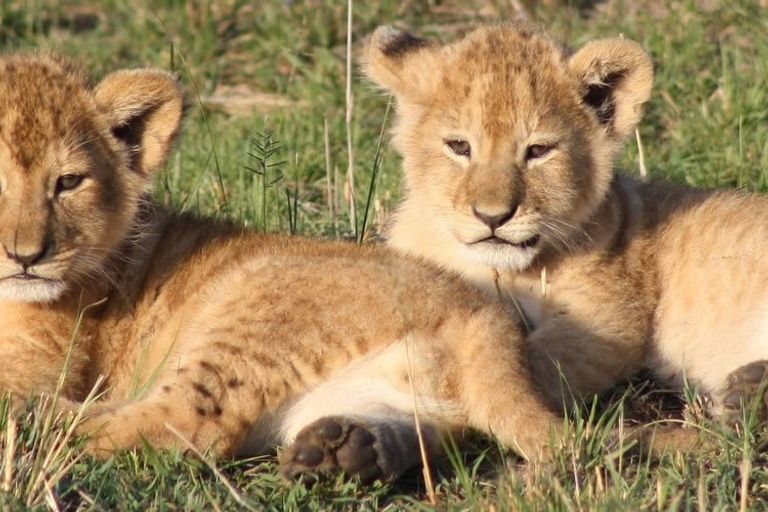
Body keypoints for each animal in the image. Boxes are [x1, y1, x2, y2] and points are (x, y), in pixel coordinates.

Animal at [0, 52, 565, 483]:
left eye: (68, 183)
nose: (27, 257)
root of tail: (483, 315)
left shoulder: (41, 363)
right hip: (387, 391)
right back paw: (343, 451)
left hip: (254, 310)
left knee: (185, 424)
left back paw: (35, 423)